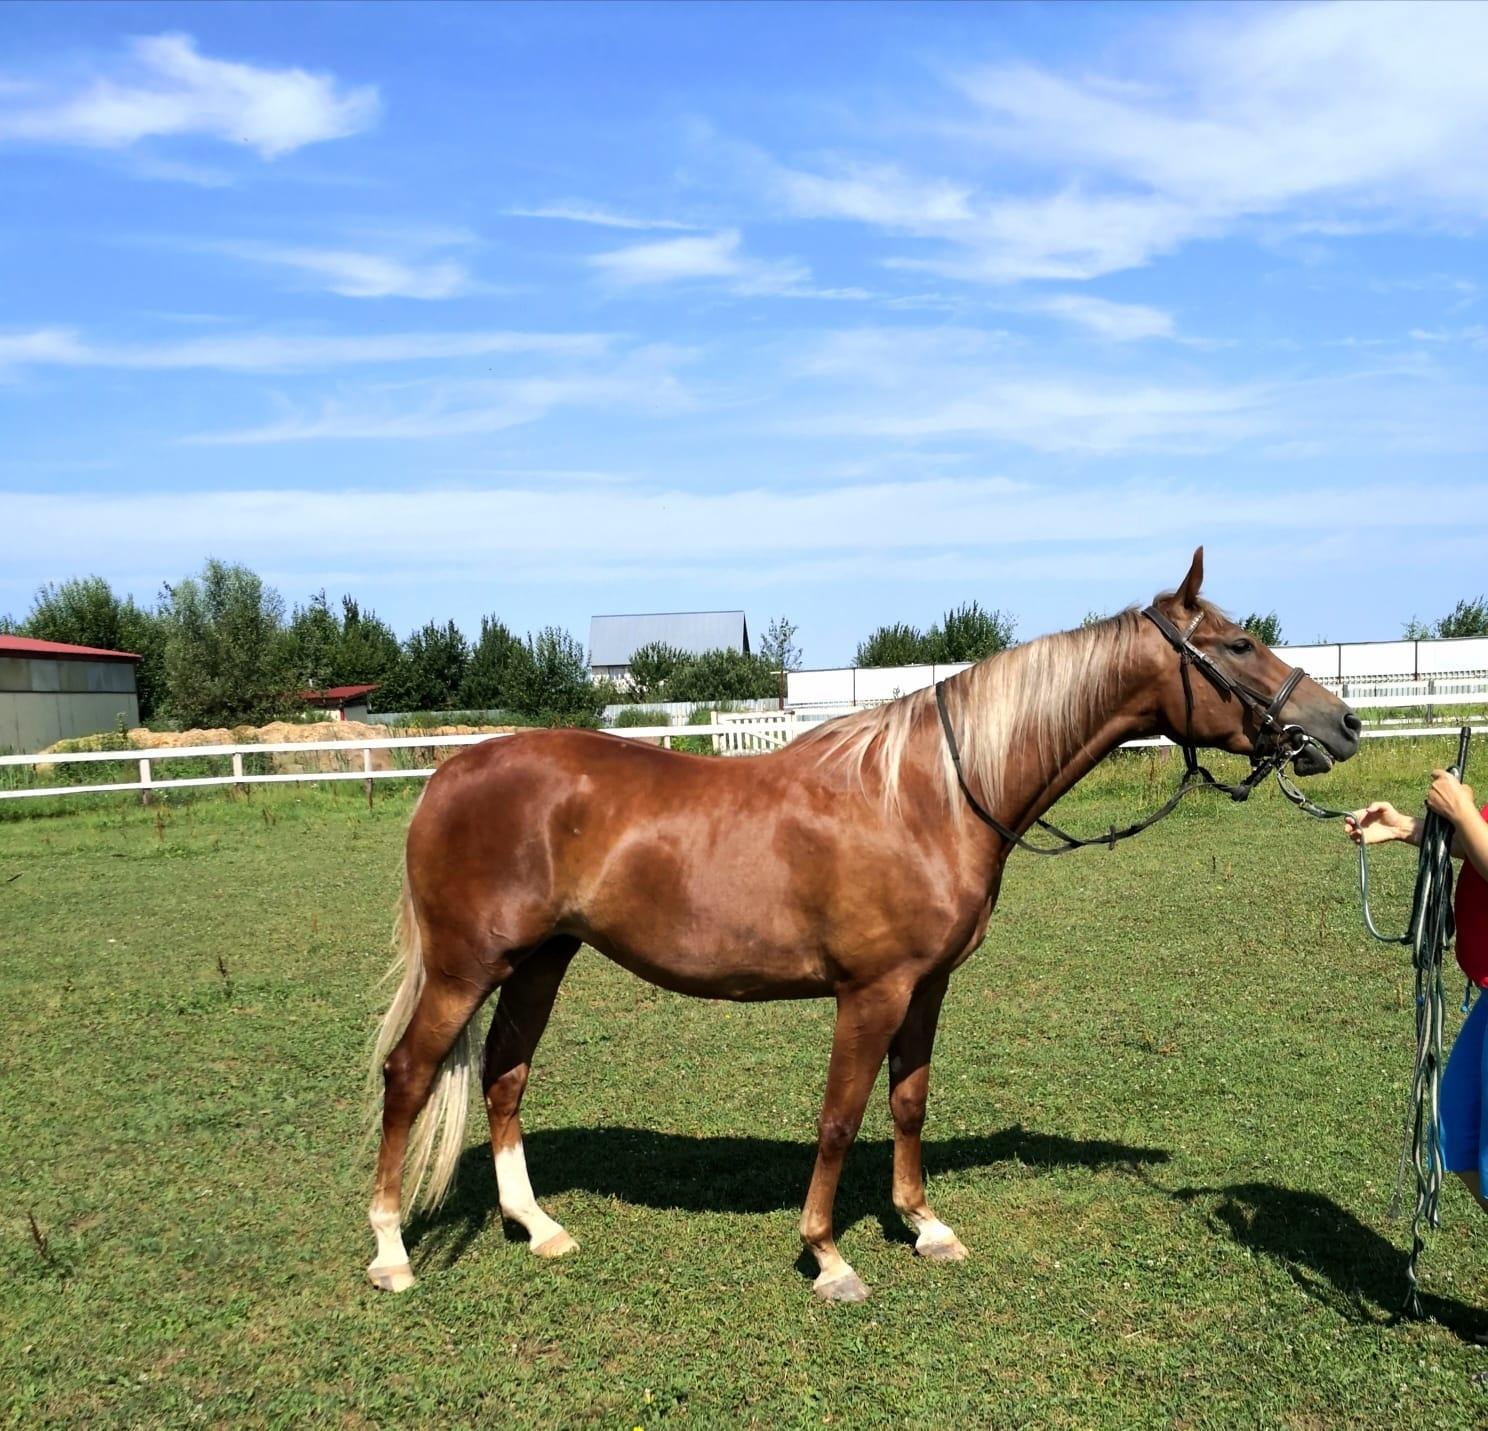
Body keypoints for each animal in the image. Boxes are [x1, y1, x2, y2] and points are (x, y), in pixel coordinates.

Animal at [363, 553, 1363, 1297]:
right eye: (1237, 643)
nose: (1340, 723)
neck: (934, 793)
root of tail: (446, 775)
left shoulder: (927, 984)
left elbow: (908, 1101)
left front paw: (925, 1225)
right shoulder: (871, 990)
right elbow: (841, 1114)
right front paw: (828, 1254)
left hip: (542, 958)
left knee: (504, 1076)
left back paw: (538, 1226)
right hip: (467, 966)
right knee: (409, 1074)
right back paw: (391, 1250)